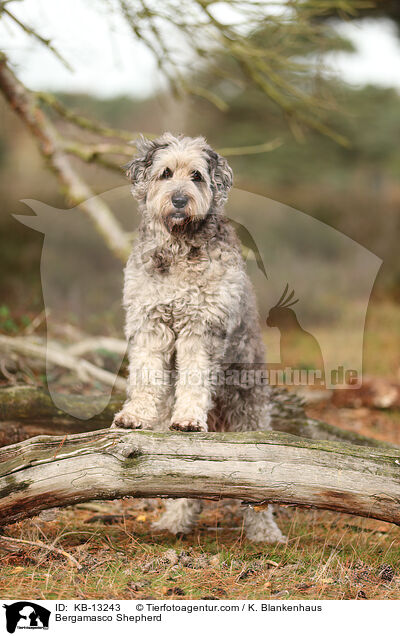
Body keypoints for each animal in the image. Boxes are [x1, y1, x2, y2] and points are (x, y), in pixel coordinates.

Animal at [113, 133, 284, 540]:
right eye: (165, 173)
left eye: (197, 176)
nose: (179, 200)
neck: (178, 247)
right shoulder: (149, 322)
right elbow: (145, 376)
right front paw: (133, 415)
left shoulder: (202, 327)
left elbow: (194, 378)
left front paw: (189, 418)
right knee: (185, 481)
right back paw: (175, 520)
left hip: (248, 411)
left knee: (259, 490)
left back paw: (265, 531)